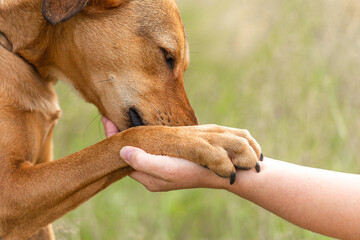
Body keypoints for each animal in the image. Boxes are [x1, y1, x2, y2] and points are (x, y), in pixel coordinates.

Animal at [0, 0, 262, 240]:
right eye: (167, 56)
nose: (191, 126)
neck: (11, 42)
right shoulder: (10, 192)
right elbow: (126, 138)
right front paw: (207, 138)